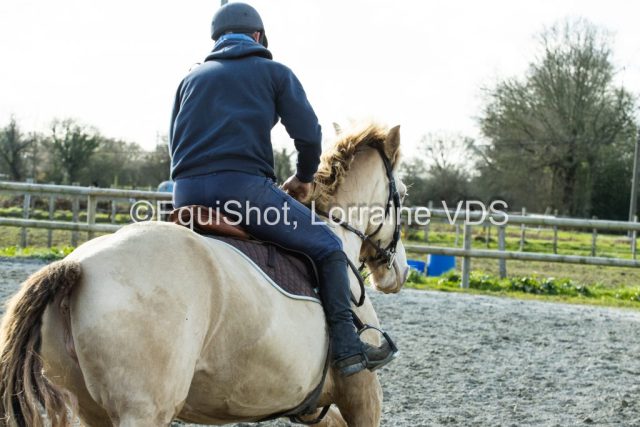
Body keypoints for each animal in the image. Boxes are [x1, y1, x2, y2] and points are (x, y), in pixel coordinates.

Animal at [0, 123, 410, 427]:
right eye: (403, 194)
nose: (399, 272)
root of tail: (77, 266)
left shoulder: (313, 405)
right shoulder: (362, 391)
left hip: (92, 411)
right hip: (144, 411)